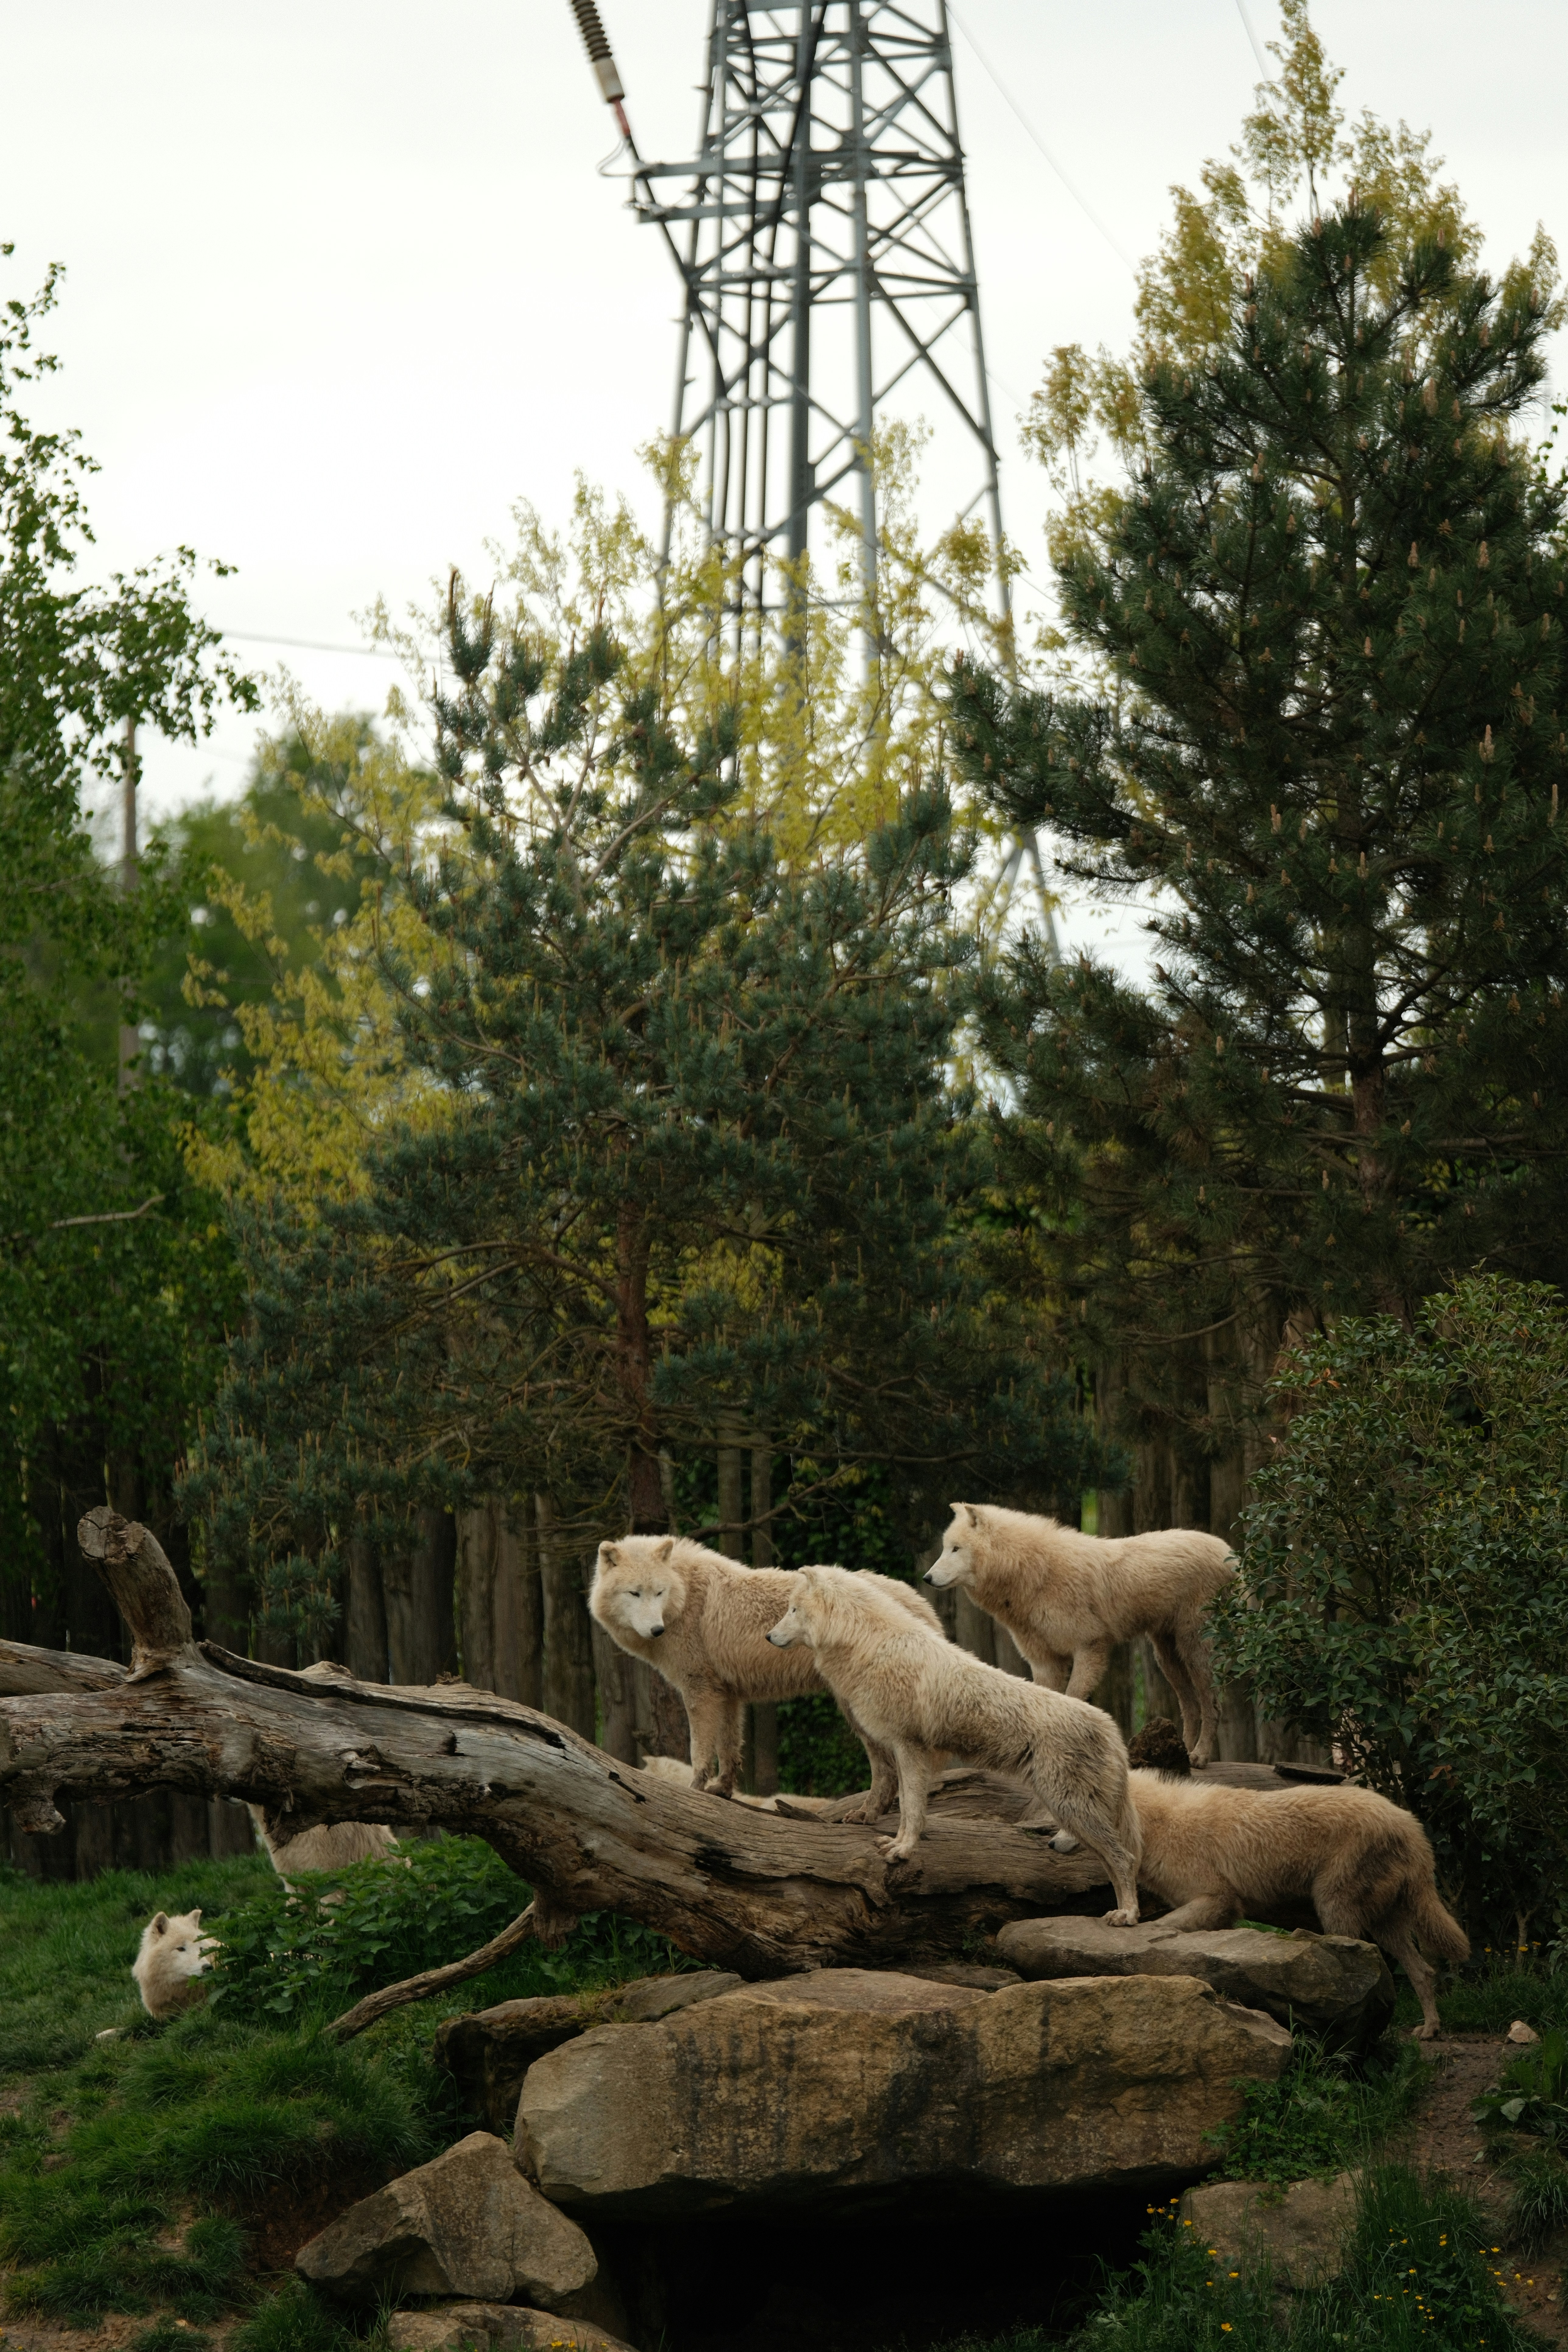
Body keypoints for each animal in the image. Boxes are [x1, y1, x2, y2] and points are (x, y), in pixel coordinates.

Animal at [590, 1536, 943, 1816]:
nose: (656, 1630)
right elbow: (729, 1748)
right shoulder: (727, 1694)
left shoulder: (699, 1689)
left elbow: (699, 1752)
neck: (685, 1597)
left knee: (885, 1766)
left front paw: (695, 1791)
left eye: (658, 1593)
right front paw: (723, 1790)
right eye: (635, 1594)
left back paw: (868, 1813)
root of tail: (921, 1604)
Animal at [766, 1563, 1143, 1923]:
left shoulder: (909, 1747)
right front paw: (897, 1845)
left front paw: (903, 1852)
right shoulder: (904, 1750)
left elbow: (911, 1810)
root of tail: (1111, 1729)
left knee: (1125, 1859)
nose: (769, 1636)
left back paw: (1127, 1916)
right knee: (1116, 1861)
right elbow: (908, 1810)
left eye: (793, 1610)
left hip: (1069, 1808)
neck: (871, 1644)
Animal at [926, 1503, 1234, 1765]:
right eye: (945, 1548)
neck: (1034, 1573)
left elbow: (1073, 1699)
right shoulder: (1045, 1662)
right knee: (1190, 1706)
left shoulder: (1089, 1647)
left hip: (1195, 1650)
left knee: (1213, 1705)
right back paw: (1182, 1754)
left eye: (956, 1549)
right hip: (1167, 1657)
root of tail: (1229, 1552)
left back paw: (1199, 1757)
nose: (927, 1579)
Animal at [1052, 1768, 1469, 2037]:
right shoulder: (1223, 1912)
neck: (1155, 1823)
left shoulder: (1215, 1898)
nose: (1052, 1844)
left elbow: (1159, 1930)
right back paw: (1430, 2031)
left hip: (1333, 1907)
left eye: (1072, 1820)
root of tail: (1411, 1827)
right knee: (1423, 1971)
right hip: (1385, 1922)